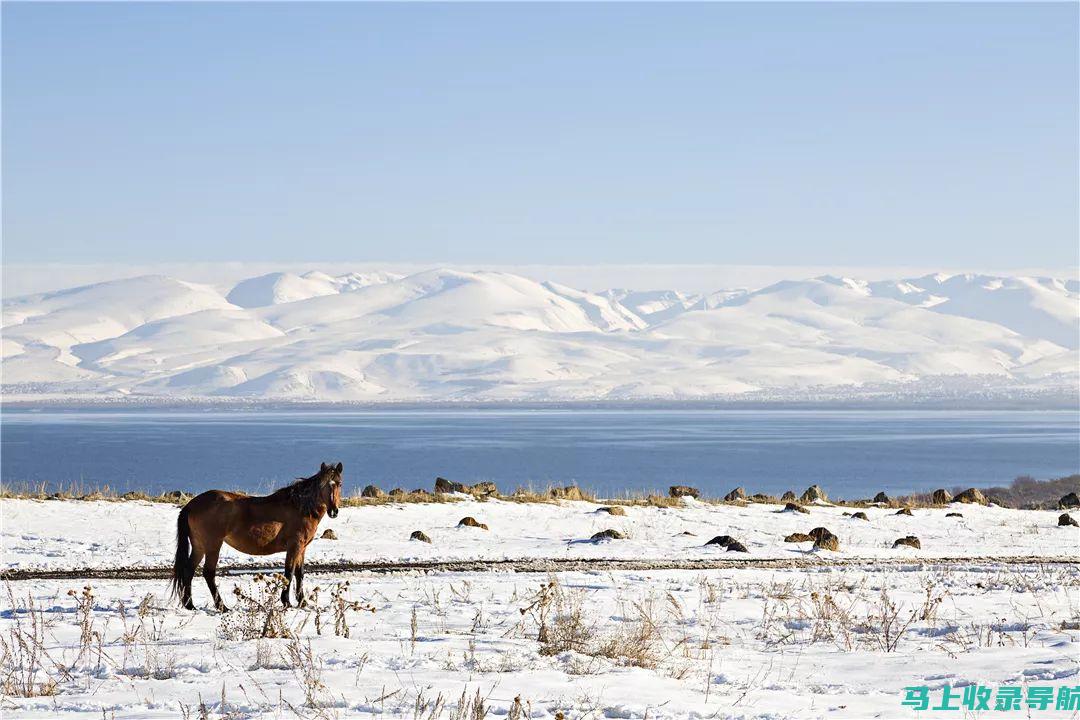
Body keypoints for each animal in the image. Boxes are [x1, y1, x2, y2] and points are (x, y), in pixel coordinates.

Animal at [169, 462, 341, 608]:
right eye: (324, 484)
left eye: (339, 483)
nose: (334, 511)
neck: (300, 507)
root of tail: (191, 505)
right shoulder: (295, 546)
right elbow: (289, 572)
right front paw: (286, 602)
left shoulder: (302, 548)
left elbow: (300, 573)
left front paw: (303, 602)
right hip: (213, 545)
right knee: (208, 573)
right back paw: (222, 607)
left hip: (199, 545)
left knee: (189, 571)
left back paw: (190, 605)